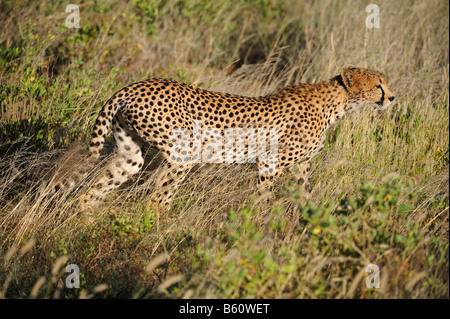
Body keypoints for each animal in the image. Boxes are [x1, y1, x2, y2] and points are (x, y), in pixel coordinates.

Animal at [53, 65, 394, 210]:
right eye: (378, 85)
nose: (392, 97)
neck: (339, 102)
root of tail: (135, 85)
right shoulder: (270, 164)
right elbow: (264, 200)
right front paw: (257, 232)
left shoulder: (301, 168)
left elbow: (306, 198)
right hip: (183, 153)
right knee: (157, 199)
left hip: (131, 155)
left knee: (92, 192)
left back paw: (84, 226)